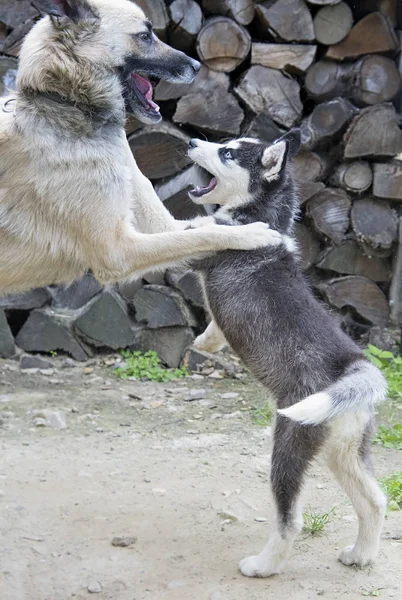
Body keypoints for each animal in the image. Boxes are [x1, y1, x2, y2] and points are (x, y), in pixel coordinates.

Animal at [0, 0, 276, 296]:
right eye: (144, 36)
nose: (196, 66)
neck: (65, 103)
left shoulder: (163, 225)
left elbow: (196, 231)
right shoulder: (118, 252)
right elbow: (204, 235)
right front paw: (250, 234)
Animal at [187, 131, 388, 576]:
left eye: (227, 152)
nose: (191, 140)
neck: (262, 216)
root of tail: (355, 366)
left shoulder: (197, 241)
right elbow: (214, 325)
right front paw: (207, 342)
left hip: (289, 444)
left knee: (290, 519)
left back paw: (263, 566)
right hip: (344, 452)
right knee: (376, 500)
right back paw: (362, 554)